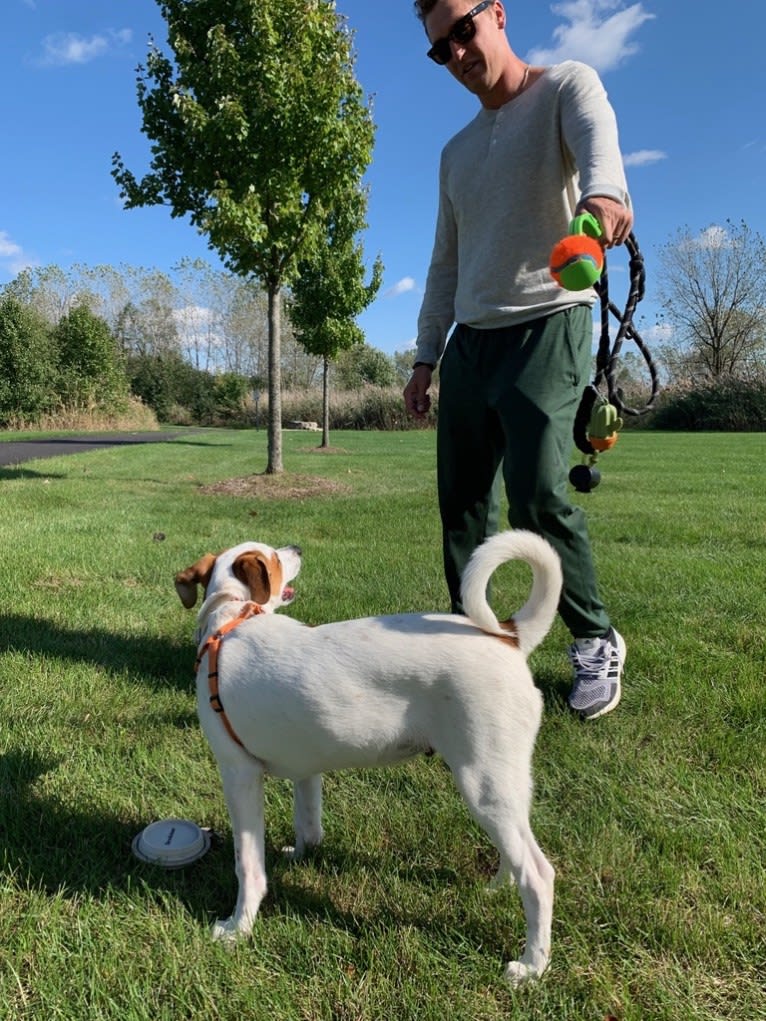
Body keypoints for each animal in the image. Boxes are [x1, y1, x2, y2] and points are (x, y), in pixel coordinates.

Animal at [178, 530, 563, 984]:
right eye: (275, 558)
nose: (297, 549)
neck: (233, 619)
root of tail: (507, 636)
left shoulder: (239, 775)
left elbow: (248, 866)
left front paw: (238, 928)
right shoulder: (307, 768)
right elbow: (307, 822)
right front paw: (302, 854)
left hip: (482, 781)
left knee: (538, 875)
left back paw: (532, 965)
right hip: (501, 782)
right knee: (516, 850)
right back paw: (497, 887)